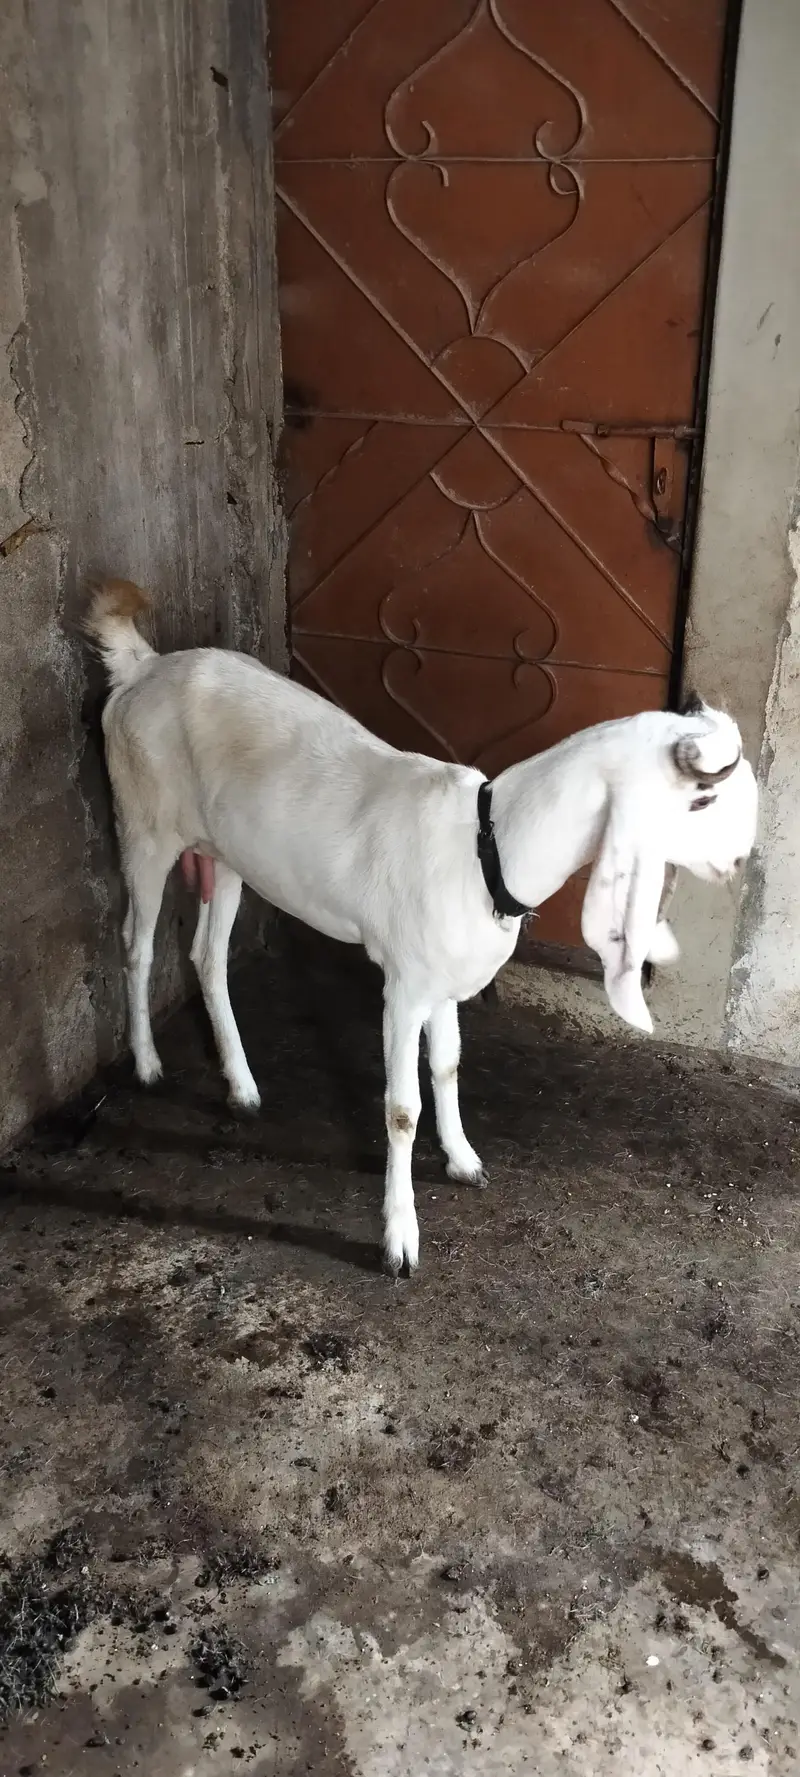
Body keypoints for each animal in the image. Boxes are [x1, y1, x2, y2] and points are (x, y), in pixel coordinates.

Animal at [86, 579, 758, 1275]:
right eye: (704, 799)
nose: (738, 861)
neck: (488, 847)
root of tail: (142, 666)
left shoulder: (446, 977)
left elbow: (449, 1066)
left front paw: (463, 1159)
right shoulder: (404, 986)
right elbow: (403, 1108)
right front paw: (400, 1238)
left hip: (224, 854)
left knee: (206, 957)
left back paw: (243, 1089)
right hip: (143, 826)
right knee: (136, 945)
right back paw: (147, 1064)